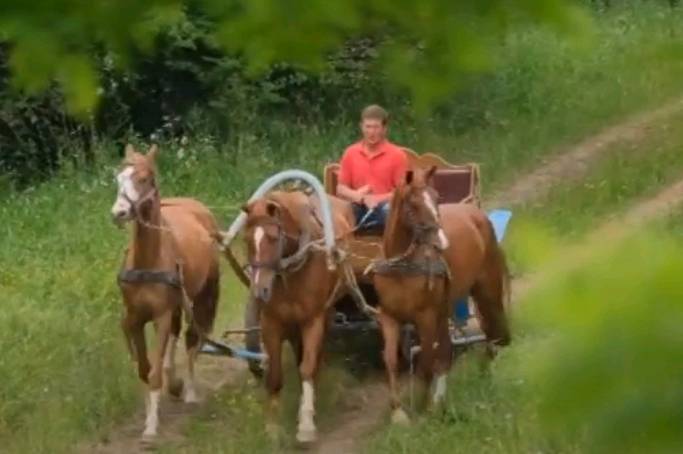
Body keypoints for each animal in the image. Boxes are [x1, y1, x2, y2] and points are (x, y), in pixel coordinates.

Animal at [111, 144, 220, 442]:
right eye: (119, 178)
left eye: (144, 178)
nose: (119, 212)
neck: (148, 261)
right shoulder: (135, 319)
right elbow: (144, 368)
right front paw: (152, 411)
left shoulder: (160, 316)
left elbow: (155, 373)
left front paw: (151, 427)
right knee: (177, 333)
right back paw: (176, 382)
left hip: (202, 297)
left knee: (192, 338)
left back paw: (189, 391)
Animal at [240, 188, 352, 444]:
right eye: (247, 240)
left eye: (273, 237)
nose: (259, 291)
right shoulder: (272, 323)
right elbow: (274, 375)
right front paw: (272, 428)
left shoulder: (313, 320)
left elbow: (307, 368)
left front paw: (306, 424)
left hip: (327, 312)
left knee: (315, 357)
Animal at [372, 166, 510, 422]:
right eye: (413, 204)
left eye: (437, 198)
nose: (441, 242)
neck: (401, 269)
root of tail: (474, 212)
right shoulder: (389, 316)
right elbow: (391, 360)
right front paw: (398, 412)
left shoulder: (425, 317)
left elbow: (426, 363)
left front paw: (421, 409)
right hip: (444, 307)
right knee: (446, 350)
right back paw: (441, 399)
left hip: (486, 289)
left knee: (493, 329)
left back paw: (488, 368)